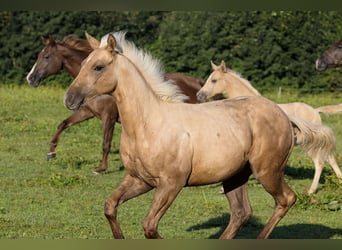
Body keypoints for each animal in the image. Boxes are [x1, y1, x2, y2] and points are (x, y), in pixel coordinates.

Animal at [26, 34, 206, 173]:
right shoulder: (87, 113)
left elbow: (106, 143)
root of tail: (198, 84)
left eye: (46, 57)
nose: (30, 78)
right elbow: (63, 124)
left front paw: (101, 169)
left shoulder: (109, 117)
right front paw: (51, 153)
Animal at [60, 32, 318, 238]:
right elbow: (110, 207)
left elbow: (149, 226)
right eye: (83, 63)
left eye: (98, 67)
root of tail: (283, 115)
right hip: (235, 176)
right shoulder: (139, 180)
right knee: (241, 213)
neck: (148, 124)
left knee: (285, 200)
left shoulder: (171, 184)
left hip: (267, 171)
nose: (69, 99)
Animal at [195, 60, 342, 193]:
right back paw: (339, 181)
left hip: (310, 143)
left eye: (214, 80)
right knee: (330, 158)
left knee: (319, 163)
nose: (199, 95)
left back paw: (311, 190)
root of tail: (315, 111)